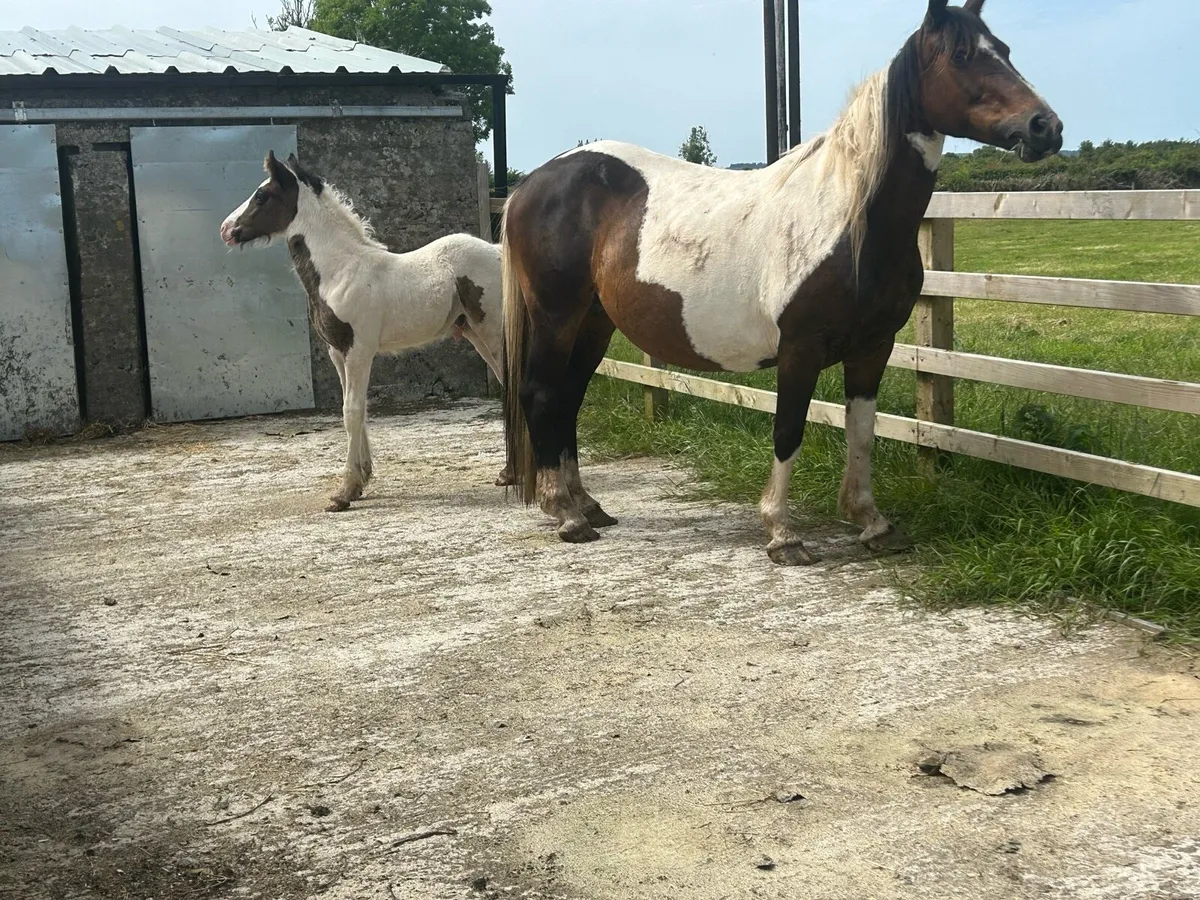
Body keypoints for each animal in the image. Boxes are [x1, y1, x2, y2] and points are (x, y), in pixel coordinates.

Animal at [220, 152, 509, 512]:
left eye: (261, 195)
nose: (226, 229)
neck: (340, 270)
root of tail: (497, 251)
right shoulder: (338, 352)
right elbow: (355, 409)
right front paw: (360, 480)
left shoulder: (359, 350)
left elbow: (351, 411)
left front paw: (343, 493)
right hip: (475, 335)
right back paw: (509, 472)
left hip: (492, 333)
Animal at [500, 0, 1062, 563]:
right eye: (963, 55)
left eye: (1004, 50)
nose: (1046, 127)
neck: (851, 221)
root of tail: (531, 183)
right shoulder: (800, 347)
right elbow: (788, 430)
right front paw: (782, 534)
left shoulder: (873, 347)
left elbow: (862, 432)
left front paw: (872, 523)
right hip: (557, 315)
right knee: (542, 393)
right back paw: (566, 513)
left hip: (594, 321)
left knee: (569, 396)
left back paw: (587, 504)